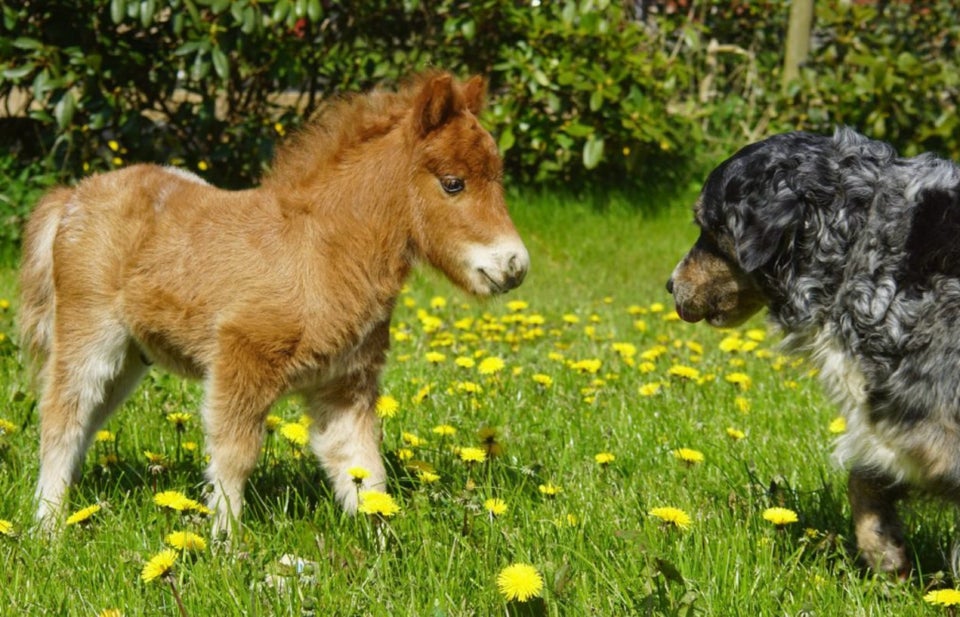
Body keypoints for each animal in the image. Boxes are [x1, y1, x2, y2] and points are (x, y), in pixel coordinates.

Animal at [20, 72, 532, 536]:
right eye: (453, 183)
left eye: (498, 177)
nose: (515, 266)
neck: (318, 251)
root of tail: (75, 195)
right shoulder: (241, 362)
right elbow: (234, 457)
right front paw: (225, 548)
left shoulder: (345, 385)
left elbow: (362, 467)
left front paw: (385, 548)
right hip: (90, 335)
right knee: (63, 417)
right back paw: (48, 528)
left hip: (130, 357)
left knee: (88, 420)